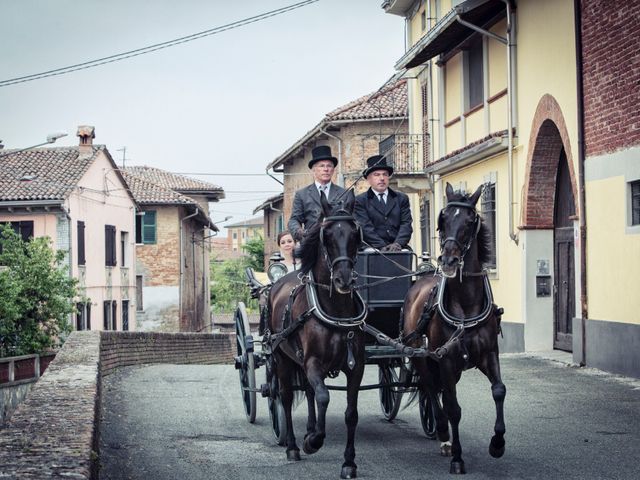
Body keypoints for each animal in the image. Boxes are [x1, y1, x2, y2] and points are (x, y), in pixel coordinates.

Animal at [264, 193, 364, 478]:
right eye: (326, 235)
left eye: (355, 234)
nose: (344, 279)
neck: (335, 309)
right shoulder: (313, 363)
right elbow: (323, 396)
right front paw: (314, 441)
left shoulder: (356, 367)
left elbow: (351, 413)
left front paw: (349, 462)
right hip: (282, 358)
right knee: (286, 397)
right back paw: (293, 446)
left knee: (308, 392)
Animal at [402, 182, 508, 474]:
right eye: (443, 219)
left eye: (470, 221)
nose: (448, 261)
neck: (466, 304)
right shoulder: (446, 361)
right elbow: (453, 408)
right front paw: (458, 458)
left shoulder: (489, 355)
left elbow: (499, 391)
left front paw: (497, 444)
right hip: (423, 358)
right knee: (430, 389)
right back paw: (442, 434)